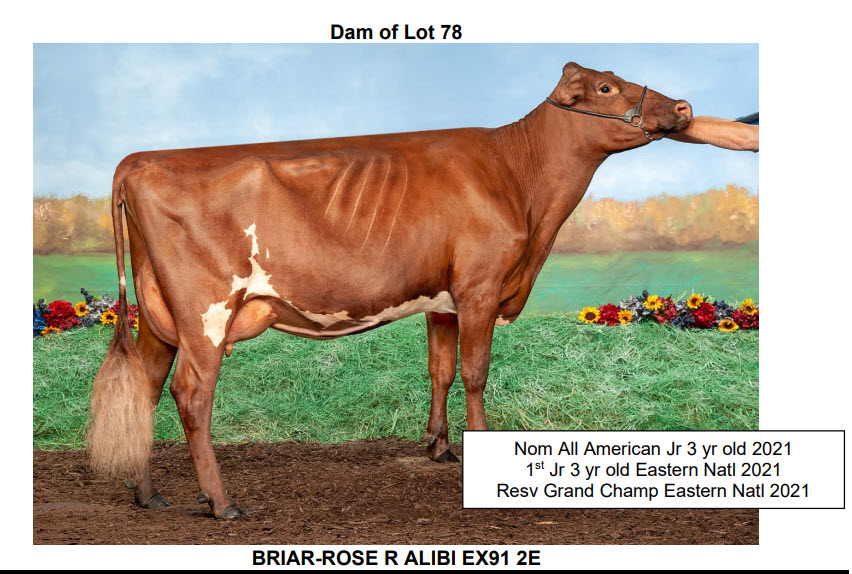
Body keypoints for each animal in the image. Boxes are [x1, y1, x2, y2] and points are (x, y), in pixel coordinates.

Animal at [88, 62, 693, 519]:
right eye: (607, 88)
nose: (684, 107)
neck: (519, 180)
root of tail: (140, 160)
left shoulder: (443, 299)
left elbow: (440, 369)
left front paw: (439, 447)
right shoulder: (479, 286)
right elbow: (475, 373)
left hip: (160, 312)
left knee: (145, 386)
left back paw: (147, 493)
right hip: (206, 311)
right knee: (191, 393)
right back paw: (221, 502)